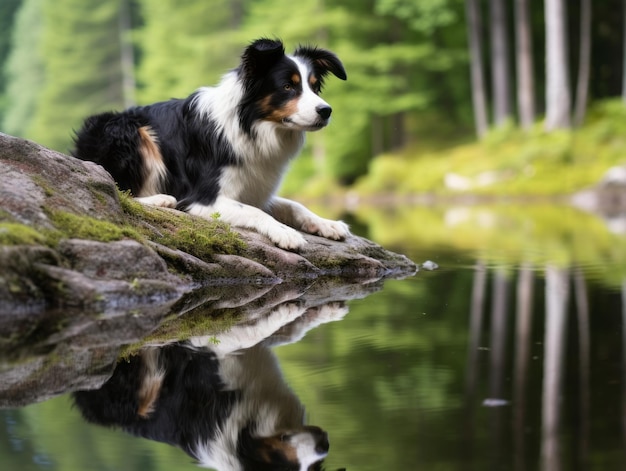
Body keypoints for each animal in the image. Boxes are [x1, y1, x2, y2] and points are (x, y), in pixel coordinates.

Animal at [73, 38, 348, 251]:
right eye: (288, 86)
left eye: (314, 86)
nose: (326, 111)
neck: (250, 125)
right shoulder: (204, 199)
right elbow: (254, 211)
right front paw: (285, 233)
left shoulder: (256, 188)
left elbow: (294, 204)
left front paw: (327, 223)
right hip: (128, 130)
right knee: (117, 185)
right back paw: (160, 199)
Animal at [74, 302, 346, 471]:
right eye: (286, 467)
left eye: (315, 467)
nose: (325, 445)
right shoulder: (205, 345)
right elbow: (252, 331)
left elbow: (290, 332)